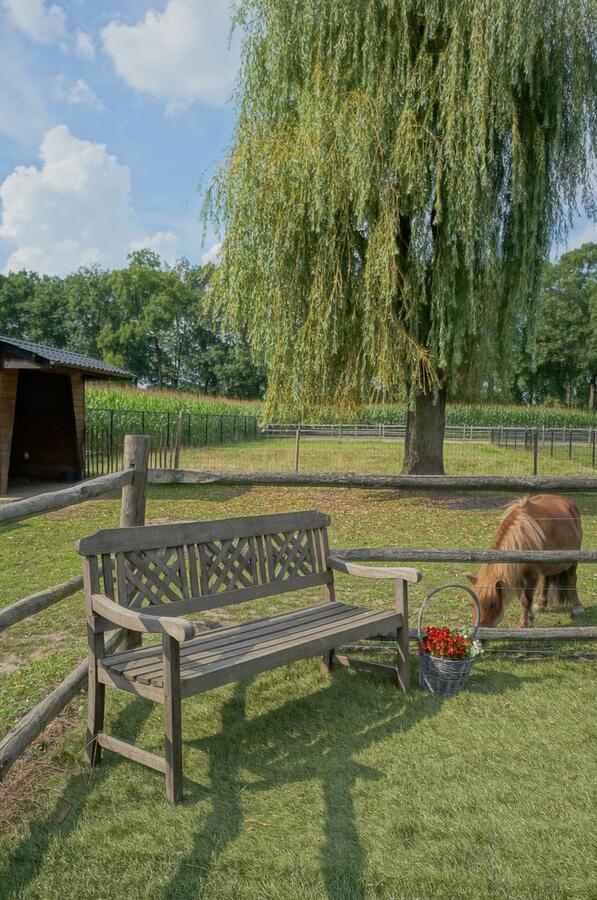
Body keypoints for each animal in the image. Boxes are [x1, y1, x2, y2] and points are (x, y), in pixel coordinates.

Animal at [466, 492, 584, 624]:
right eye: (471, 604)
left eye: (493, 604)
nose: (480, 629)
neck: (522, 536)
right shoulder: (515, 575)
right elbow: (522, 599)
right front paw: (529, 618)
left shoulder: (531, 575)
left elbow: (527, 599)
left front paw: (523, 624)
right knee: (545, 580)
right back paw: (540, 605)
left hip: (572, 562)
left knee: (572, 579)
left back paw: (577, 608)